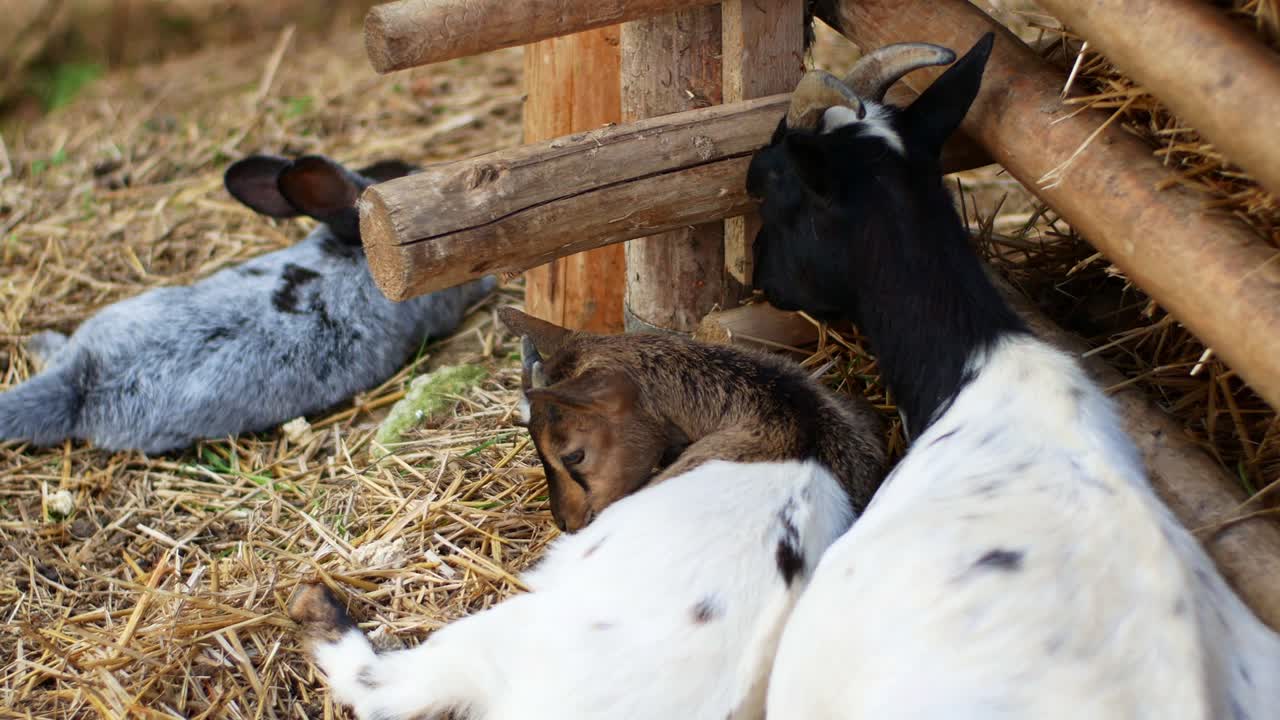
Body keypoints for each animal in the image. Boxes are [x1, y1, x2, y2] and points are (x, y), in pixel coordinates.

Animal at [289, 308, 887, 720]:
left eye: (572, 454)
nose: (567, 524)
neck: (792, 423)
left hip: (501, 636)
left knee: (385, 686)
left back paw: (312, 602)